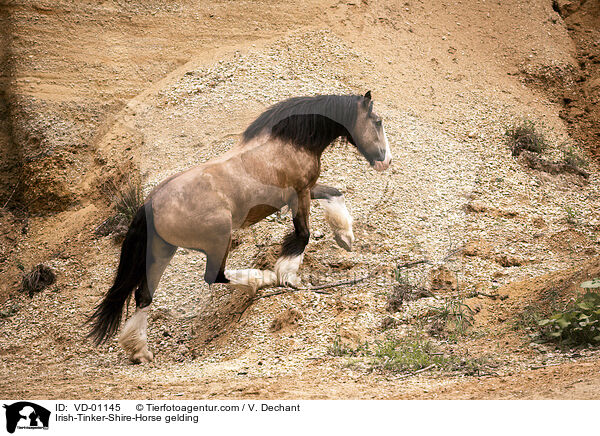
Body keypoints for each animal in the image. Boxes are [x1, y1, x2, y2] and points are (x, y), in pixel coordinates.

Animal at [86, 90, 392, 362]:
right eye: (377, 121)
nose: (386, 161)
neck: (290, 142)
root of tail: (149, 203)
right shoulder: (299, 194)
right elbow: (303, 235)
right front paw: (287, 275)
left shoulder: (307, 189)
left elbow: (335, 193)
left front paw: (345, 236)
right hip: (218, 238)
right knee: (215, 276)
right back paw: (261, 279)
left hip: (162, 251)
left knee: (144, 295)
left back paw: (140, 351)